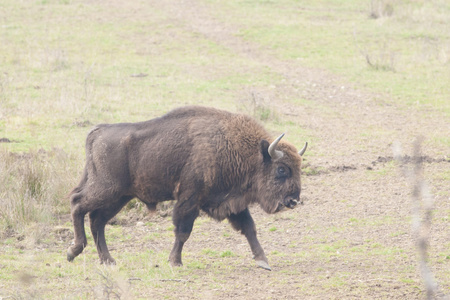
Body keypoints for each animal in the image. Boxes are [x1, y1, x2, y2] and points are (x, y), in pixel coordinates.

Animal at [67, 106, 306, 270]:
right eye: (282, 169)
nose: (293, 200)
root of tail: (97, 131)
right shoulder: (190, 199)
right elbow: (183, 231)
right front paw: (175, 261)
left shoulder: (234, 203)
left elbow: (249, 228)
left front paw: (263, 261)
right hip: (106, 189)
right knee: (78, 204)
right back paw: (74, 251)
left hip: (120, 196)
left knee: (97, 220)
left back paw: (108, 260)